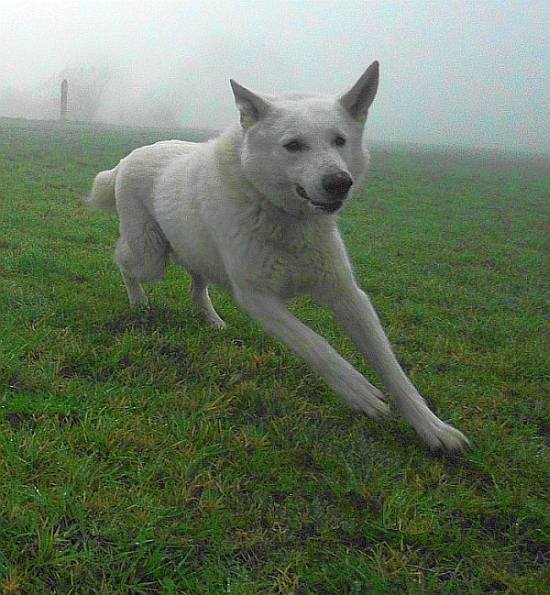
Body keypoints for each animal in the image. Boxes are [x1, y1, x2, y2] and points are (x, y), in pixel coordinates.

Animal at [87, 61, 470, 452]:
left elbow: (393, 369)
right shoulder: (259, 299)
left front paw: (433, 429)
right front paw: (359, 391)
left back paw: (210, 318)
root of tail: (128, 157)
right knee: (123, 260)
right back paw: (139, 302)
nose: (339, 182)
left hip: (195, 250)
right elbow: (316, 344)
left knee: (197, 281)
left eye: (340, 140)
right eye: (293, 145)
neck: (286, 218)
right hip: (150, 256)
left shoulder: (347, 294)